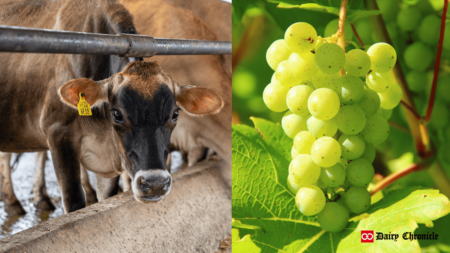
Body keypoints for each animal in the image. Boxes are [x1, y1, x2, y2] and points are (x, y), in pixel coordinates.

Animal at [0, 0, 222, 213]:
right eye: (116, 114)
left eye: (175, 114)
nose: (155, 184)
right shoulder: (57, 132)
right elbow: (74, 202)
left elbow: (105, 197)